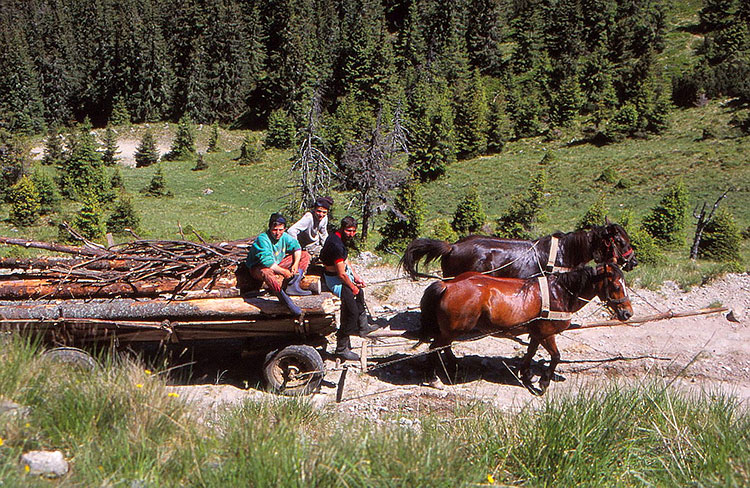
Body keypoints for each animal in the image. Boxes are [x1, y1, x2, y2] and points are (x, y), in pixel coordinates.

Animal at [418, 264, 636, 392]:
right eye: (616, 286)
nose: (628, 313)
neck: (559, 294)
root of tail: (448, 286)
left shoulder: (536, 333)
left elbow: (530, 353)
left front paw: (526, 374)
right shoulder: (547, 334)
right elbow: (556, 356)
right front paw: (543, 382)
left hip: (452, 330)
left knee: (444, 346)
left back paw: (454, 364)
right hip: (453, 330)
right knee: (434, 348)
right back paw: (433, 378)